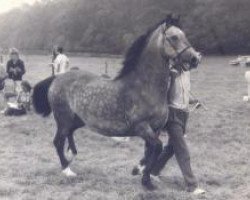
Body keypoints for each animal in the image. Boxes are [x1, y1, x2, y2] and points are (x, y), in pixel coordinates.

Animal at [32, 16, 200, 190]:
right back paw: (67, 170)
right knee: (58, 141)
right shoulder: (141, 127)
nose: (195, 58)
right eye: (174, 37)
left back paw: (72, 153)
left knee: (69, 134)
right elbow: (157, 148)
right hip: (63, 118)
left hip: (78, 120)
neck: (144, 87)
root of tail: (57, 78)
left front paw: (139, 170)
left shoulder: (156, 129)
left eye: (184, 35)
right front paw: (146, 181)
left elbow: (150, 152)